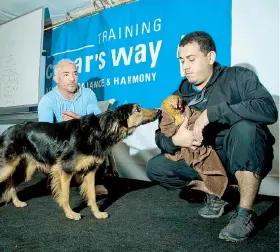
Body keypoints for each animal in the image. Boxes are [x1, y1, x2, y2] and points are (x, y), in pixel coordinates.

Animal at [0, 104, 159, 220]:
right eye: (137, 109)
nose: (159, 111)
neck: (97, 132)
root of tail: (6, 131)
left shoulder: (90, 171)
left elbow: (92, 196)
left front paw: (97, 213)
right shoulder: (65, 169)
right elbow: (65, 196)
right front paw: (70, 214)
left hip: (25, 168)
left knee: (11, 184)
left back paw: (17, 203)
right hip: (8, 167)